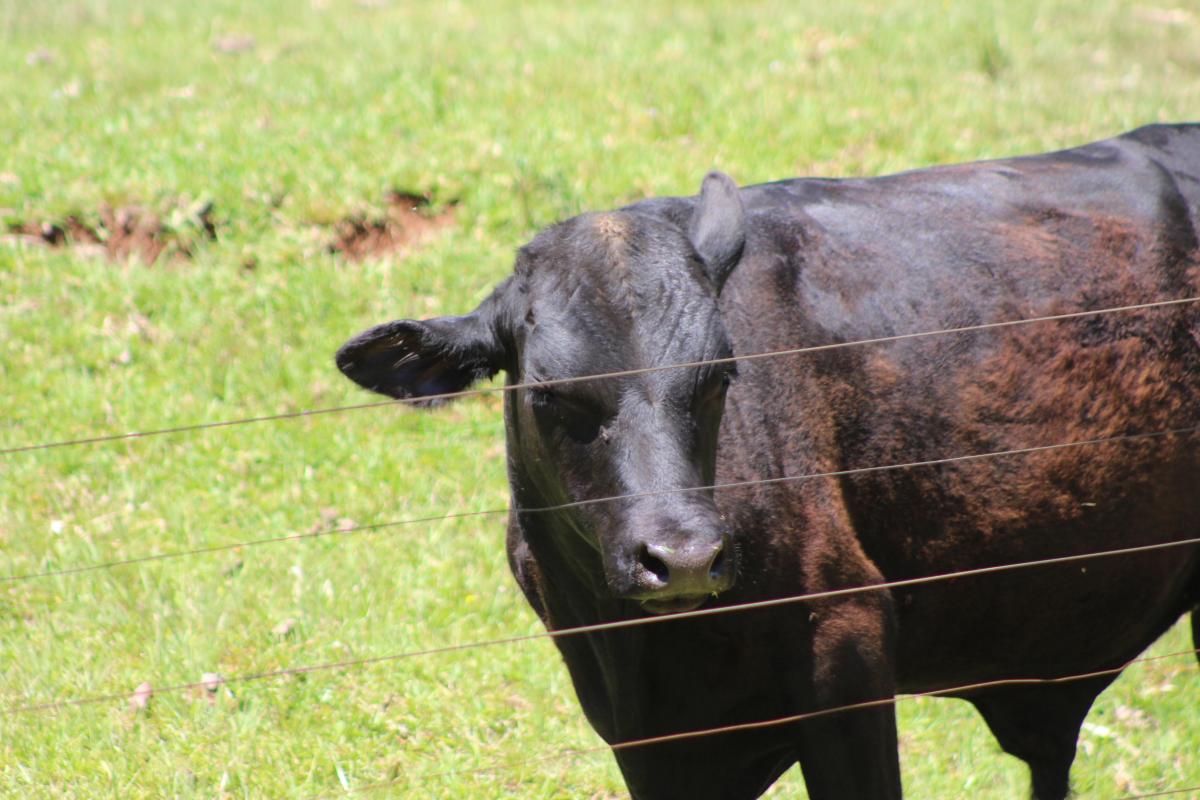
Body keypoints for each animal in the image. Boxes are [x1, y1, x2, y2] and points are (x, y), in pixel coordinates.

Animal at [338, 122, 1200, 796]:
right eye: (549, 394)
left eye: (721, 373)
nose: (684, 558)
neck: (642, 652)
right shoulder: (645, 742)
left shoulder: (848, 652)